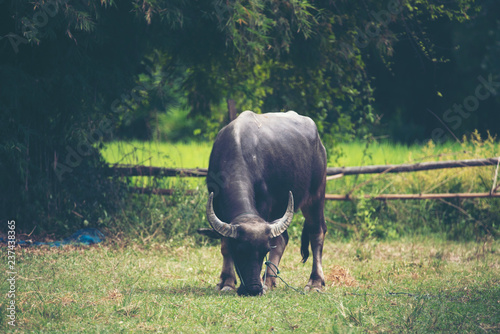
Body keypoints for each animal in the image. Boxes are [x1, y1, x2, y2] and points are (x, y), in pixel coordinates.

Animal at [199, 111, 328, 296]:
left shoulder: (266, 205)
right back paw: (269, 281)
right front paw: (227, 282)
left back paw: (315, 282)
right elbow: (224, 246)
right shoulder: (217, 205)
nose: (253, 289)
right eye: (240, 250)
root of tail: (319, 143)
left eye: (264, 251)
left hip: (316, 194)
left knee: (316, 232)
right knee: (282, 239)